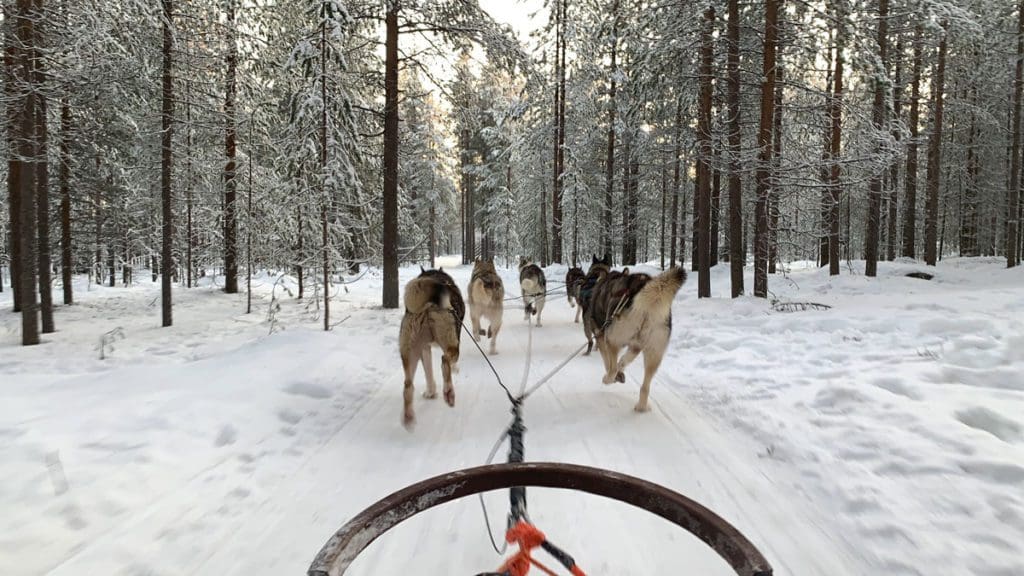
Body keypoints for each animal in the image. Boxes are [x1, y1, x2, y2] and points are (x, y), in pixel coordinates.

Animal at [397, 266, 466, 426]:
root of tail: (428, 307)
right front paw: (455, 369)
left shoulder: (425, 348)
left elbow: (428, 373)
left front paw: (430, 392)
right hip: (451, 344)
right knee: (444, 361)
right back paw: (449, 392)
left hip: (409, 352)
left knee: (408, 385)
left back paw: (408, 416)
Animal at [585, 266, 688, 409]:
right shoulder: (636, 346)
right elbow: (623, 360)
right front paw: (621, 371)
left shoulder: (601, 337)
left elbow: (608, 363)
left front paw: (616, 375)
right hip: (654, 353)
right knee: (645, 387)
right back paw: (641, 407)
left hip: (613, 339)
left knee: (612, 369)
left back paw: (607, 379)